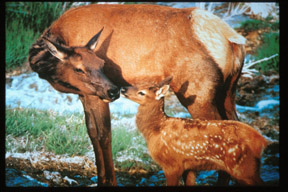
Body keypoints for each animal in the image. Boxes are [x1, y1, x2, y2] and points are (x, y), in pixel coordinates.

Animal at [28, 3, 245, 186]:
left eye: (102, 64)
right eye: (79, 69)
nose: (114, 90)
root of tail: (232, 39)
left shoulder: (95, 95)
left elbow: (104, 135)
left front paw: (110, 182)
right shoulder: (85, 94)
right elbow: (92, 133)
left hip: (198, 92)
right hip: (227, 92)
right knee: (236, 123)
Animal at [121, 76, 268, 186]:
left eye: (142, 92)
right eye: (138, 84)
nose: (123, 89)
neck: (156, 129)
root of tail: (261, 141)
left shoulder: (171, 164)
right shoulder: (188, 167)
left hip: (243, 166)